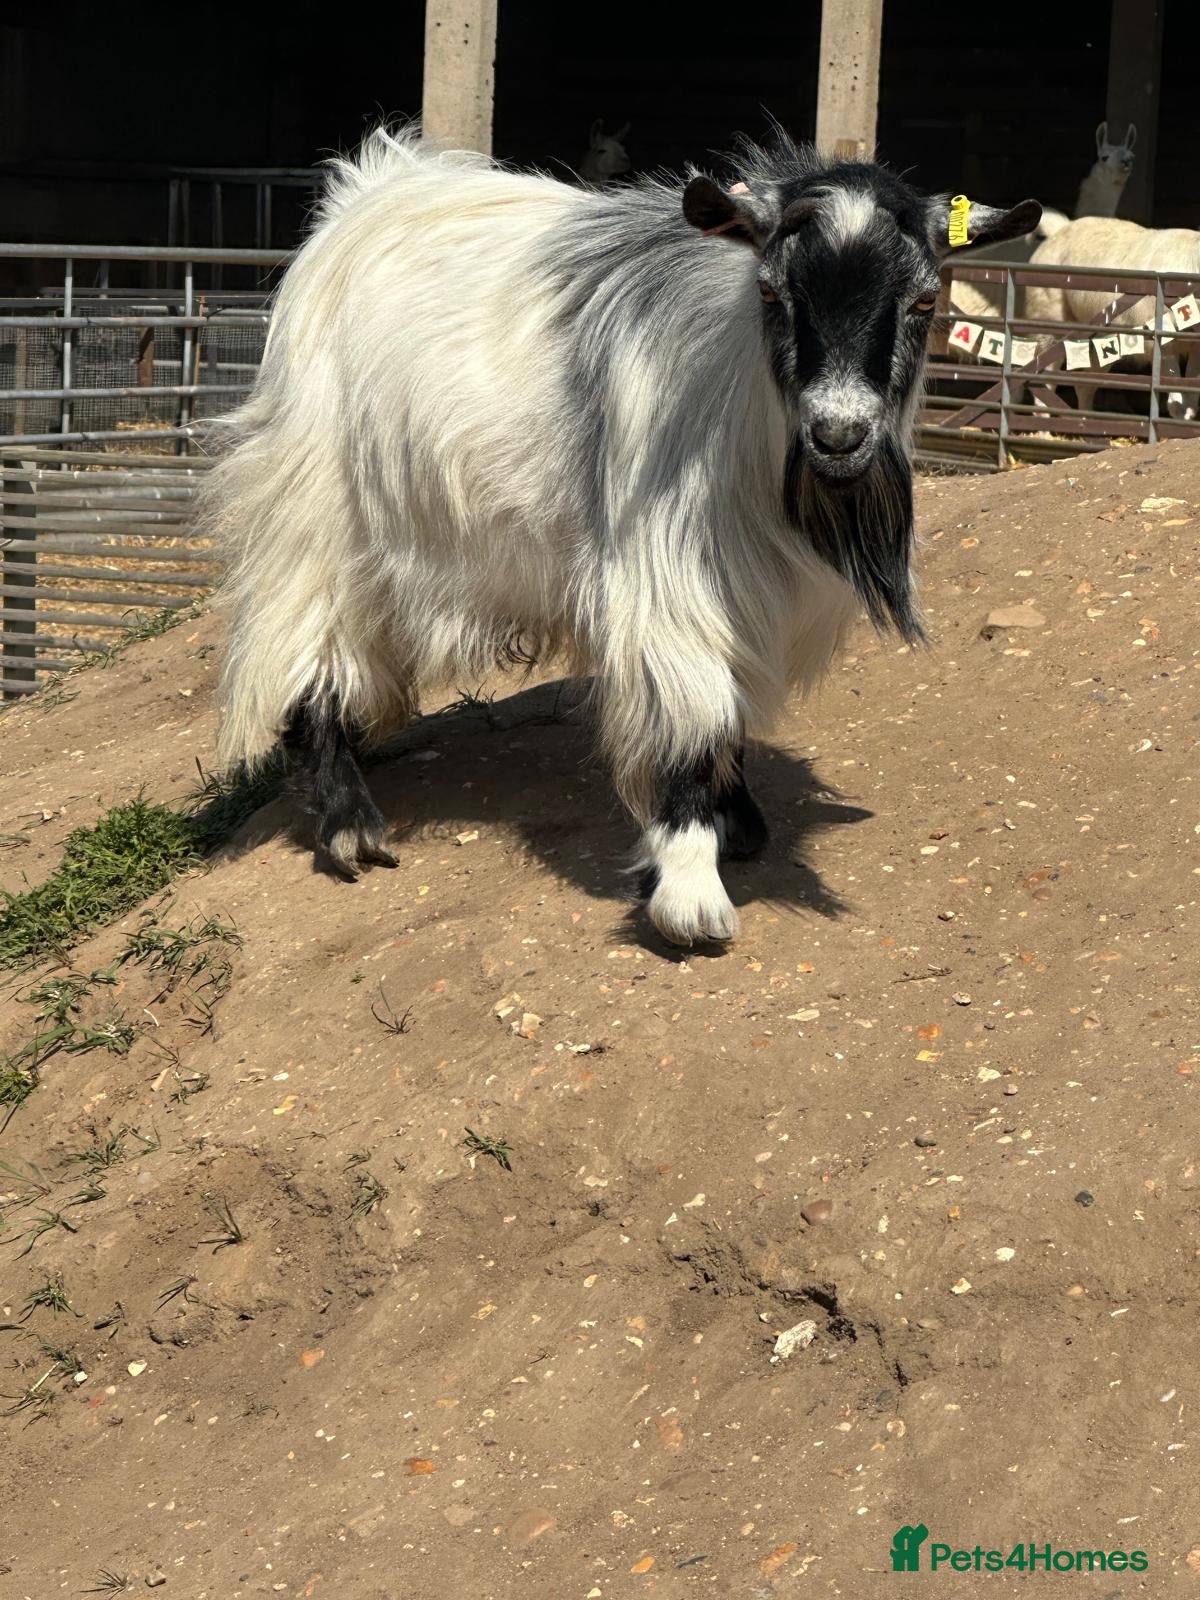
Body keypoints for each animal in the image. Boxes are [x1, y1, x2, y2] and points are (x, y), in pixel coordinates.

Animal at [206, 127, 1037, 945]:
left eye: (924, 299)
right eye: (771, 291)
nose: (839, 435)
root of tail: (368, 190)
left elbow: (729, 711)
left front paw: (738, 820)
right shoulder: (666, 573)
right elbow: (689, 713)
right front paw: (691, 891)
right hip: (317, 510)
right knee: (306, 645)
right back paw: (348, 823)